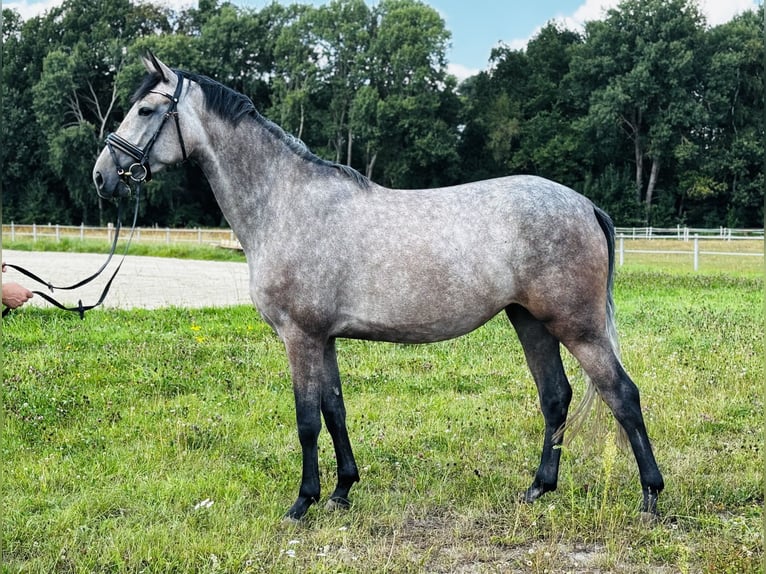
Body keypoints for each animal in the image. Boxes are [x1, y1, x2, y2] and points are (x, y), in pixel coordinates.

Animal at [93, 53, 664, 522]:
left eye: (145, 109)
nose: (102, 177)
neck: (285, 203)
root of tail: (583, 204)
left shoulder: (300, 337)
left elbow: (306, 419)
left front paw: (302, 502)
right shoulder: (323, 339)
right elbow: (334, 410)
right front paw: (342, 491)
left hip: (578, 327)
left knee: (622, 395)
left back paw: (651, 497)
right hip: (530, 320)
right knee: (556, 398)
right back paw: (539, 488)